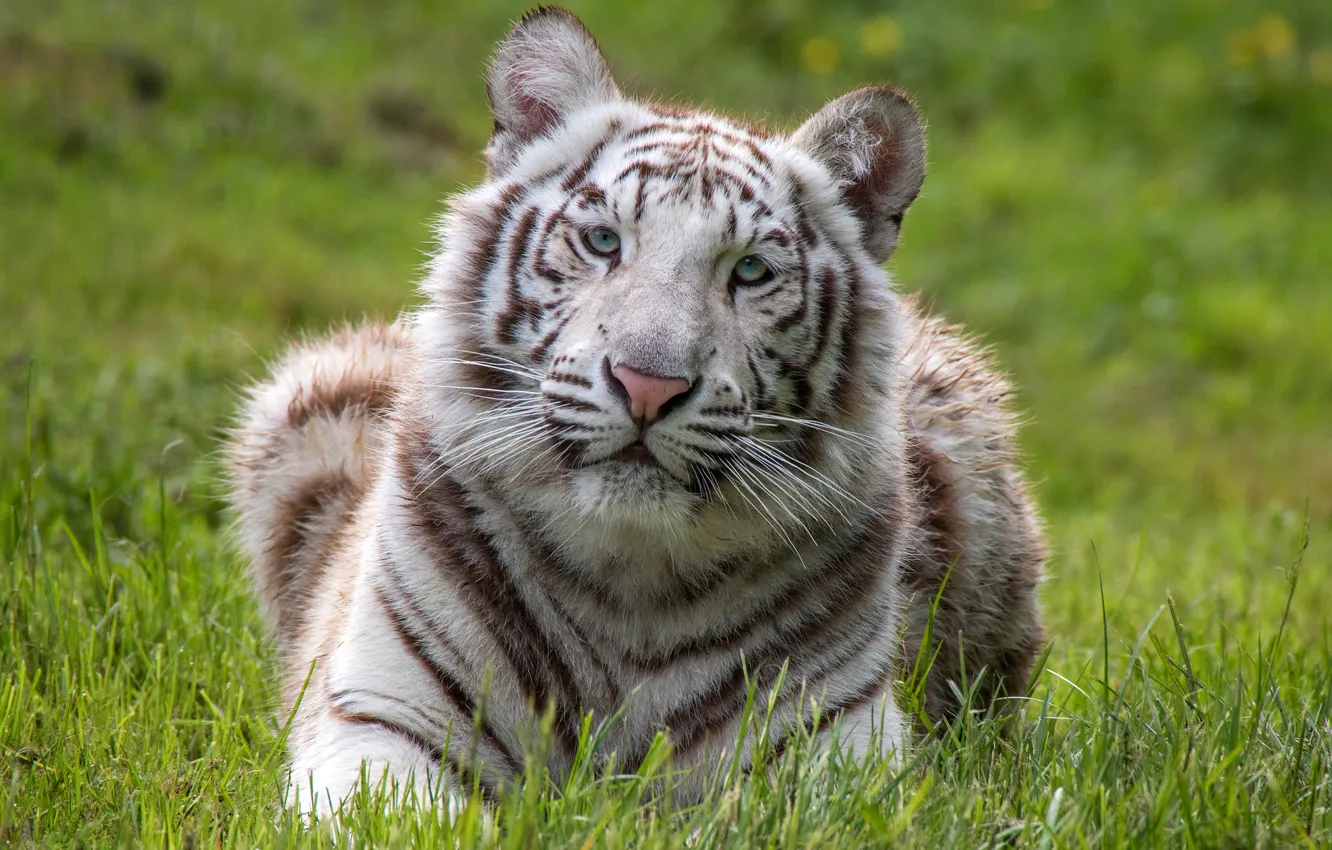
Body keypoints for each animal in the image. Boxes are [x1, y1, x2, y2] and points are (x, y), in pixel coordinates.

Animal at [225, 7, 1046, 815]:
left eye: (751, 270)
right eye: (601, 241)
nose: (648, 384)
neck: (629, 588)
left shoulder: (835, 742)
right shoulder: (384, 715)